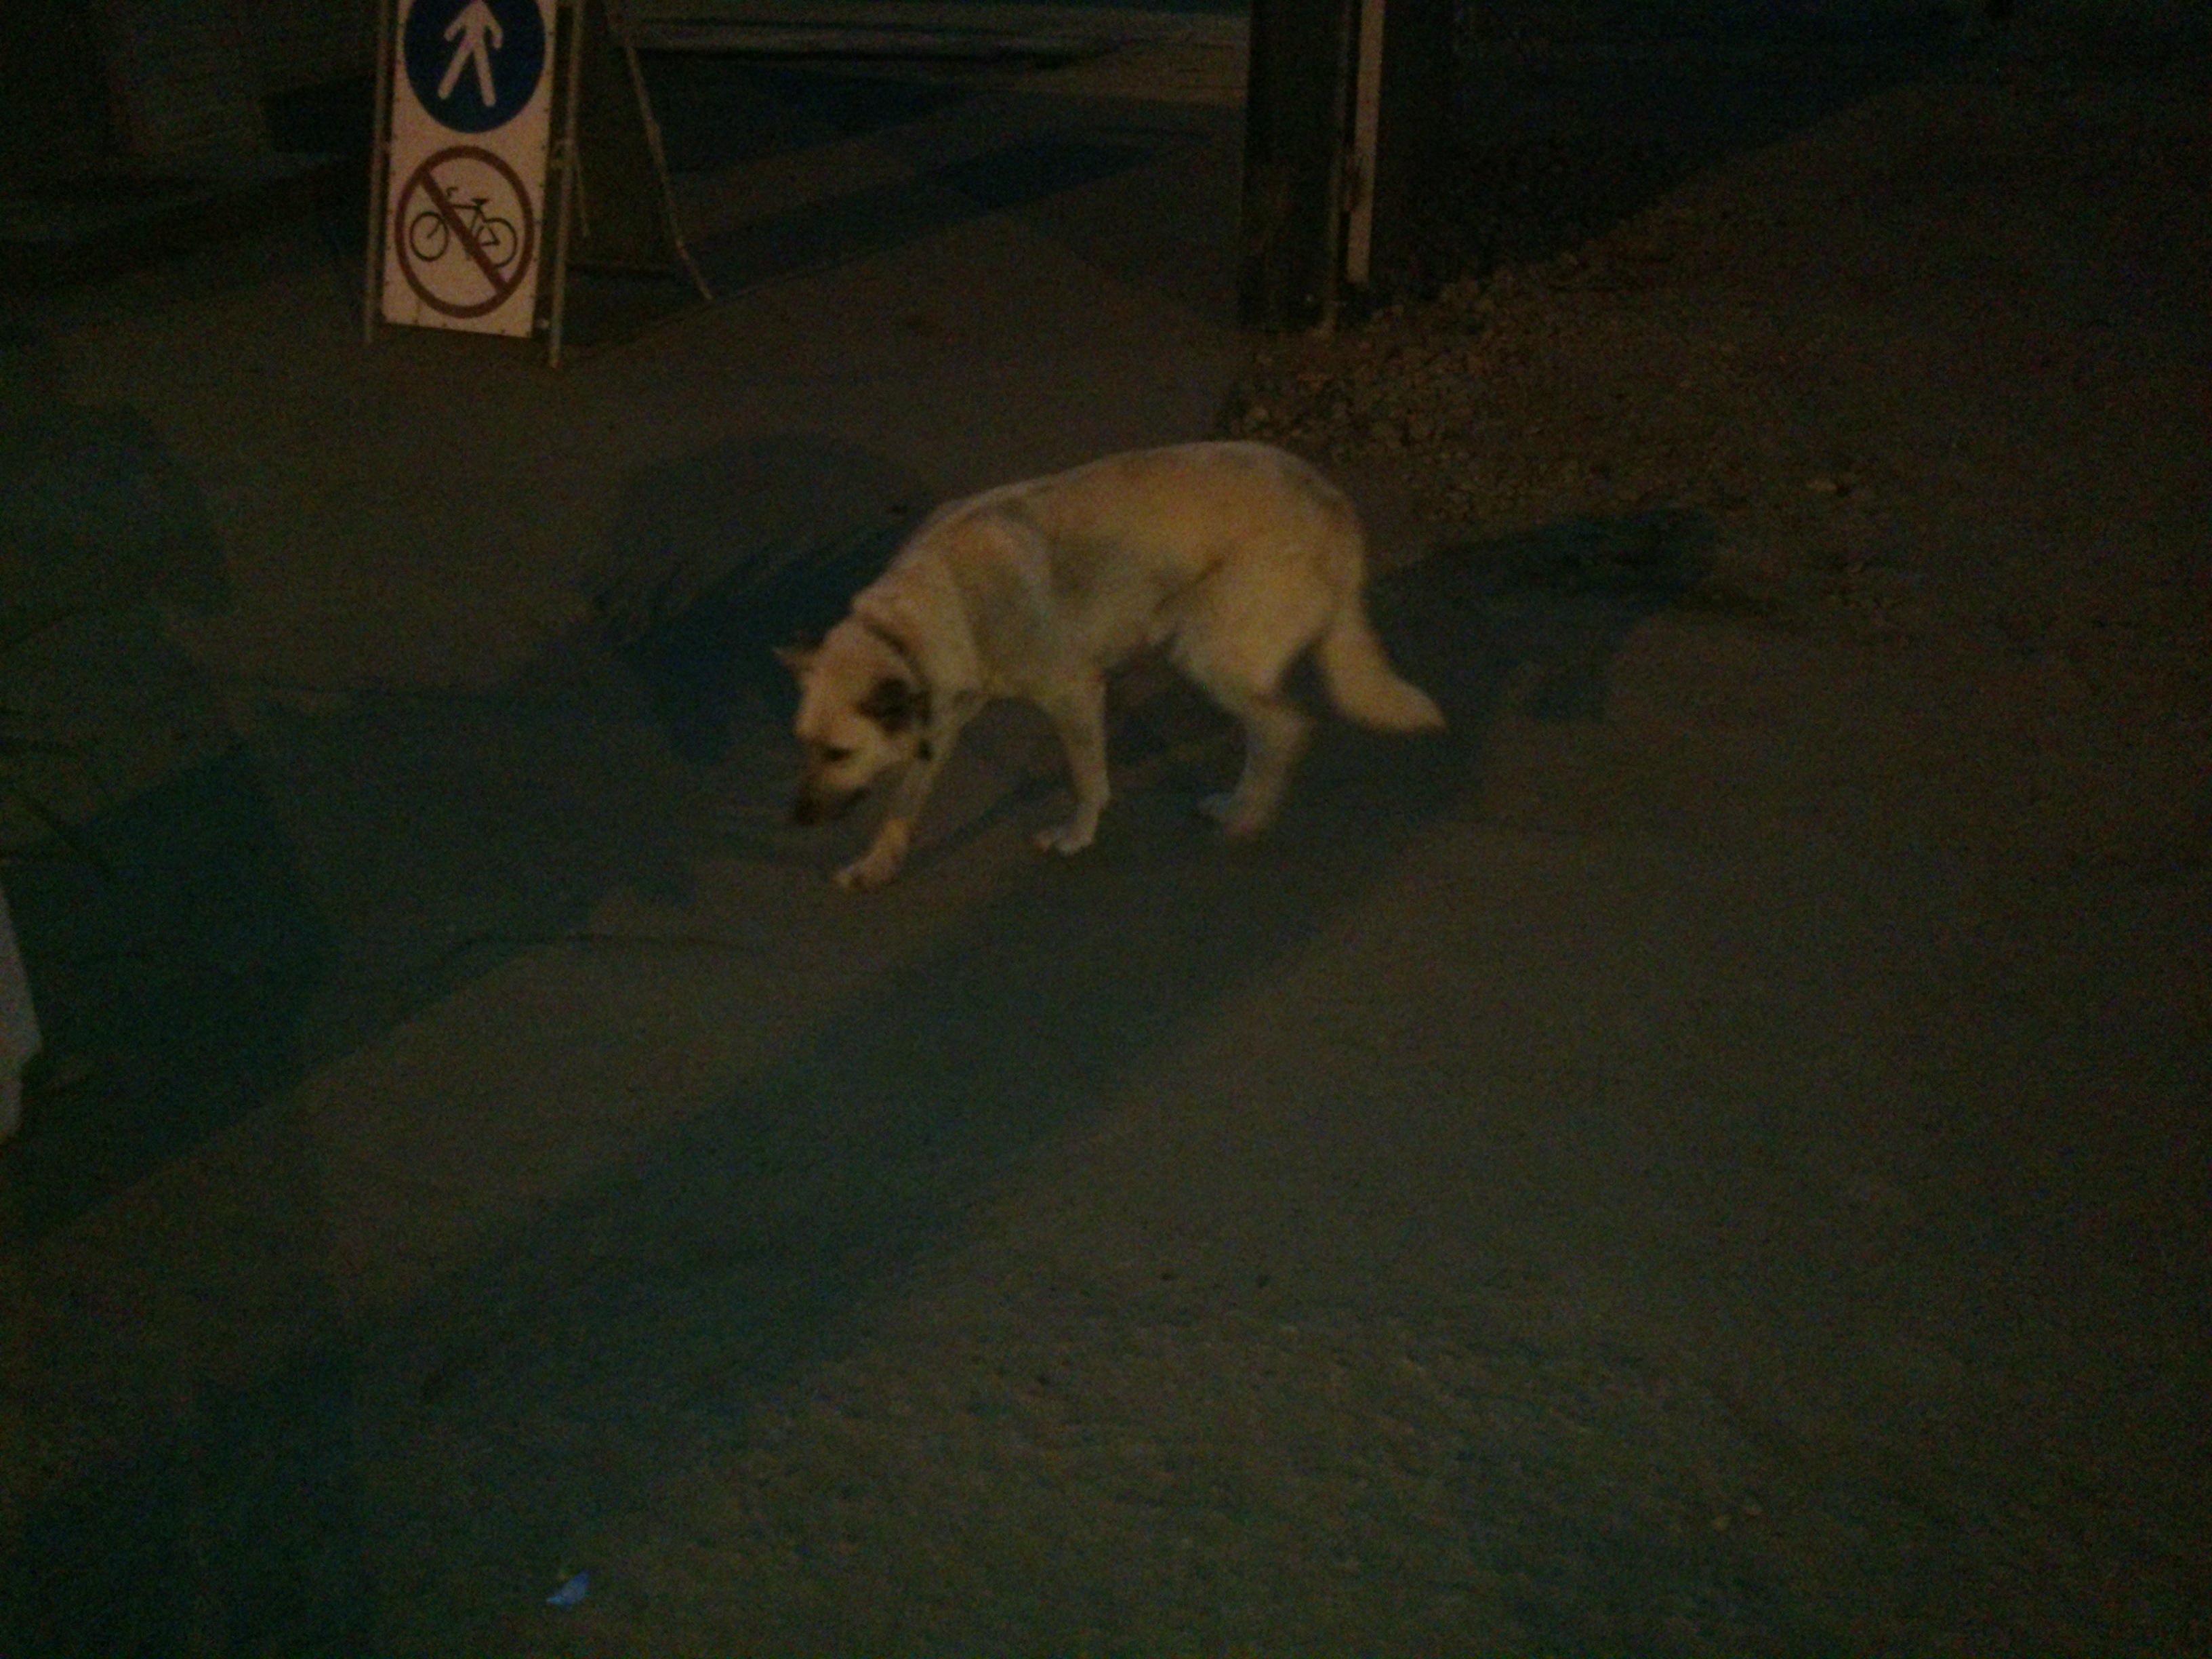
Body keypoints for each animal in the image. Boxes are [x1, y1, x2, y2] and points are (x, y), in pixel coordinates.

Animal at [779, 440, 1443, 889]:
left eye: (838, 753)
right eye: (804, 745)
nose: (798, 818)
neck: (919, 619)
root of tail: (1335, 504)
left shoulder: (1073, 695)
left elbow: (1087, 778)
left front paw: (1077, 836)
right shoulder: (935, 725)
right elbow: (902, 806)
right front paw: (877, 863)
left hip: (1205, 652)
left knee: (1284, 728)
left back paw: (1244, 814)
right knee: (1273, 727)